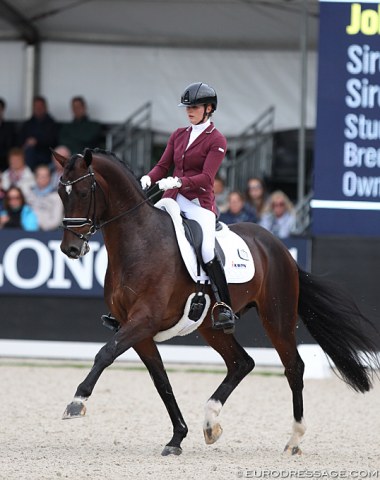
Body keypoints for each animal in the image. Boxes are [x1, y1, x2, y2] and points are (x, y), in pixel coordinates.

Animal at [54, 148, 380, 456]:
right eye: (60, 192)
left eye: (82, 192)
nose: (71, 249)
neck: (139, 241)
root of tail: (278, 246)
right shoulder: (137, 330)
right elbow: (161, 382)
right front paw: (177, 438)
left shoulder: (143, 320)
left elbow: (105, 353)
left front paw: (76, 401)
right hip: (211, 326)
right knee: (241, 362)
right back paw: (211, 423)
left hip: (277, 316)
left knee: (293, 367)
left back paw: (294, 439)